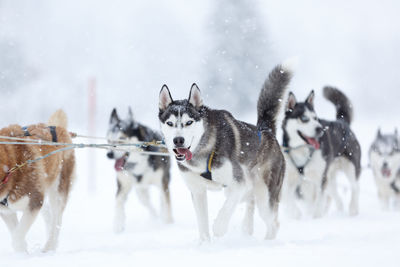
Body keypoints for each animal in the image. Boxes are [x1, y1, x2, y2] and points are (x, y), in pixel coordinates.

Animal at [0, 110, 75, 253]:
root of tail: (58, 128)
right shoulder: (6, 211)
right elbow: (16, 234)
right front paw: (22, 252)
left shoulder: (34, 200)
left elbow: (17, 237)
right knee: (49, 214)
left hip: (58, 189)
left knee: (57, 219)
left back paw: (50, 246)